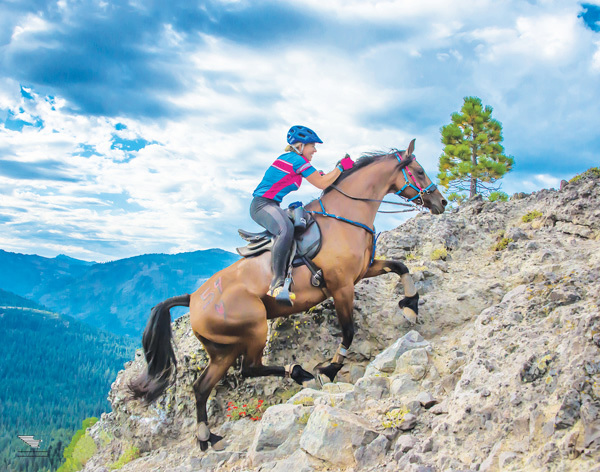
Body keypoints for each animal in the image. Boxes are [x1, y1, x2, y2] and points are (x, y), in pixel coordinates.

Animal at [129, 139, 448, 450]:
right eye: (419, 171)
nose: (441, 202)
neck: (345, 216)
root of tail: (193, 298)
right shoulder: (342, 285)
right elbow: (348, 331)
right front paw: (330, 369)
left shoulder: (362, 271)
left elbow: (400, 266)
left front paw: (410, 305)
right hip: (255, 327)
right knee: (249, 369)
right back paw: (299, 373)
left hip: (223, 350)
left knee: (202, 386)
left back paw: (207, 437)